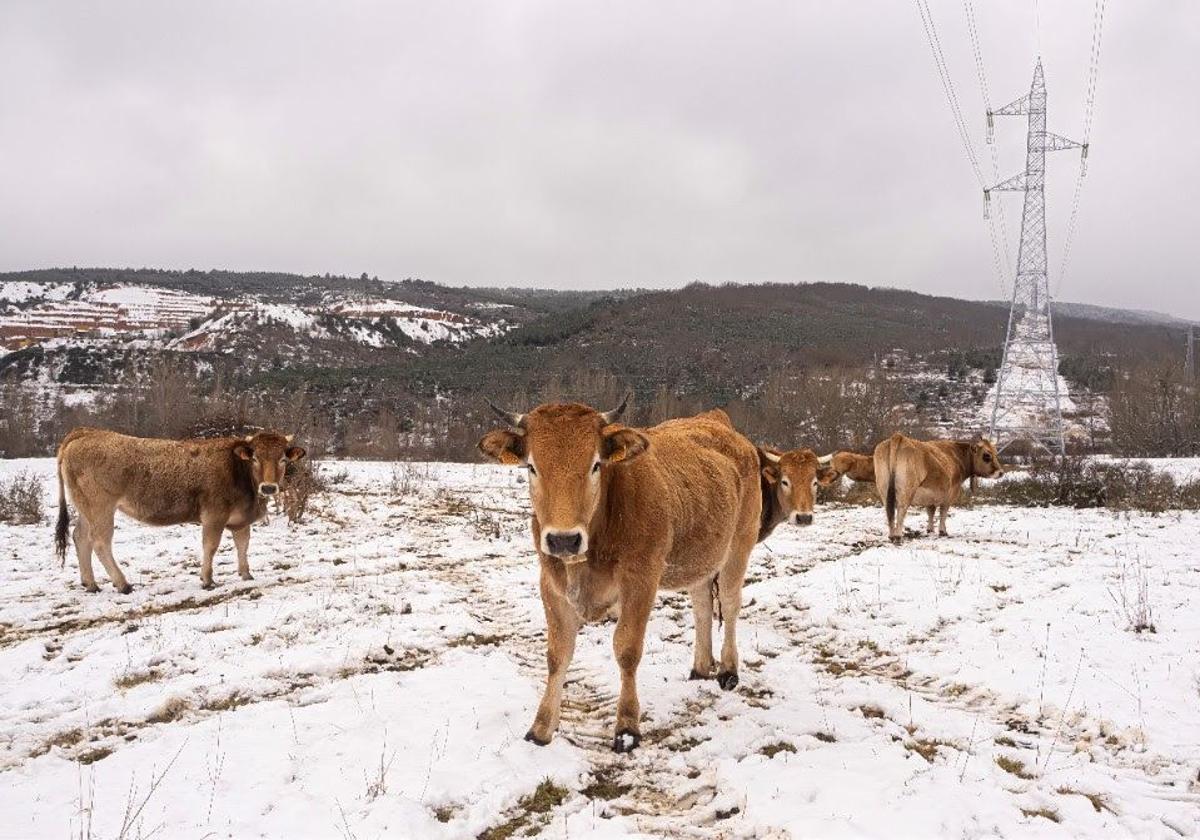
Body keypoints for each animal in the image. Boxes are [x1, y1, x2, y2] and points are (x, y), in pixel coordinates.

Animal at [56, 429, 304, 592]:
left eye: (283, 459)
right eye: (254, 458)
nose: (269, 487)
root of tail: (87, 432)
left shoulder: (240, 519)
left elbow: (243, 544)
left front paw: (246, 574)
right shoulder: (214, 515)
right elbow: (210, 546)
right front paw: (207, 580)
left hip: (85, 507)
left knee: (80, 537)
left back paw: (90, 583)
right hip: (101, 507)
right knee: (100, 542)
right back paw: (123, 584)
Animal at [475, 396, 758, 753]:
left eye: (596, 465)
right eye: (531, 467)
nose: (564, 539)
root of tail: (717, 422)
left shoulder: (641, 579)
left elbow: (627, 649)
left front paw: (627, 728)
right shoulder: (551, 583)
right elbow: (557, 654)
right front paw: (540, 729)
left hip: (739, 546)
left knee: (731, 604)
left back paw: (728, 671)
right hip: (701, 557)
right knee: (702, 606)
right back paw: (700, 667)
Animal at [873, 432, 1003, 544]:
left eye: (996, 453)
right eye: (987, 456)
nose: (1001, 472)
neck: (956, 456)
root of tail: (899, 437)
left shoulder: (931, 496)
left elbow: (930, 511)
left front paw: (930, 530)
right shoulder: (950, 494)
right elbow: (943, 513)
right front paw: (942, 531)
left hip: (884, 488)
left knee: (889, 510)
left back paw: (891, 535)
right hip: (907, 490)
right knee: (901, 509)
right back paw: (898, 536)